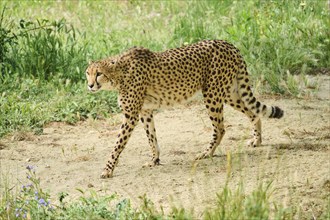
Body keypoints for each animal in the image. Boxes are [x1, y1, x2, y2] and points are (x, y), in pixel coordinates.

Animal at [85, 39, 284, 178]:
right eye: (88, 73)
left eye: (99, 73)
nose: (90, 85)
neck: (119, 74)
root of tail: (227, 43)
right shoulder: (145, 111)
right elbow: (151, 137)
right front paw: (154, 160)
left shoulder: (130, 115)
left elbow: (118, 144)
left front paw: (107, 170)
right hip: (230, 92)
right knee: (253, 112)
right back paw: (257, 140)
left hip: (212, 93)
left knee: (220, 128)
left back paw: (207, 152)